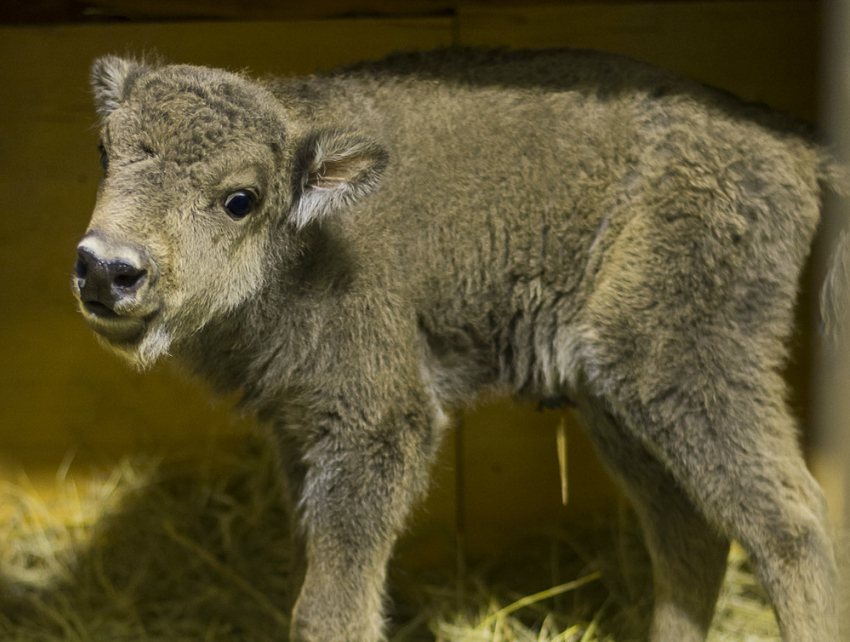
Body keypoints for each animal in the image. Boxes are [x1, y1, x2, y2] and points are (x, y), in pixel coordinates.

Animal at [71, 50, 836, 640]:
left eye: (240, 199)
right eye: (107, 151)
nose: (108, 268)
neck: (307, 240)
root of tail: (790, 147)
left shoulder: (378, 425)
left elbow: (331, 600)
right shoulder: (298, 427)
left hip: (680, 363)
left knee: (791, 523)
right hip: (616, 406)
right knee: (689, 531)